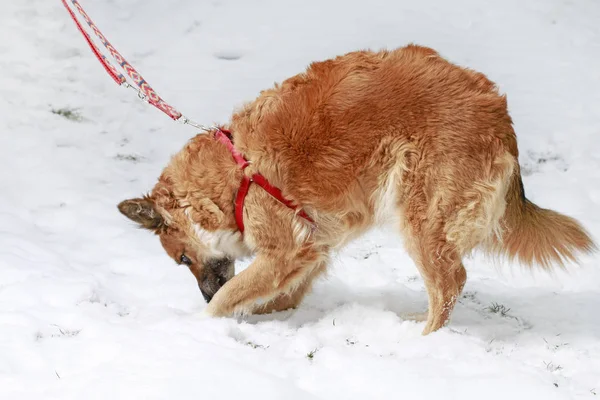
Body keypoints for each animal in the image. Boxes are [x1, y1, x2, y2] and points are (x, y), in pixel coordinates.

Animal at [118, 44, 596, 334]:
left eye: (183, 259)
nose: (203, 290)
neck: (237, 174)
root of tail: (497, 113)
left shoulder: (284, 250)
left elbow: (231, 296)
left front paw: (202, 321)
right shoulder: (310, 248)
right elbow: (276, 294)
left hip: (422, 217)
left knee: (450, 282)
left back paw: (425, 340)